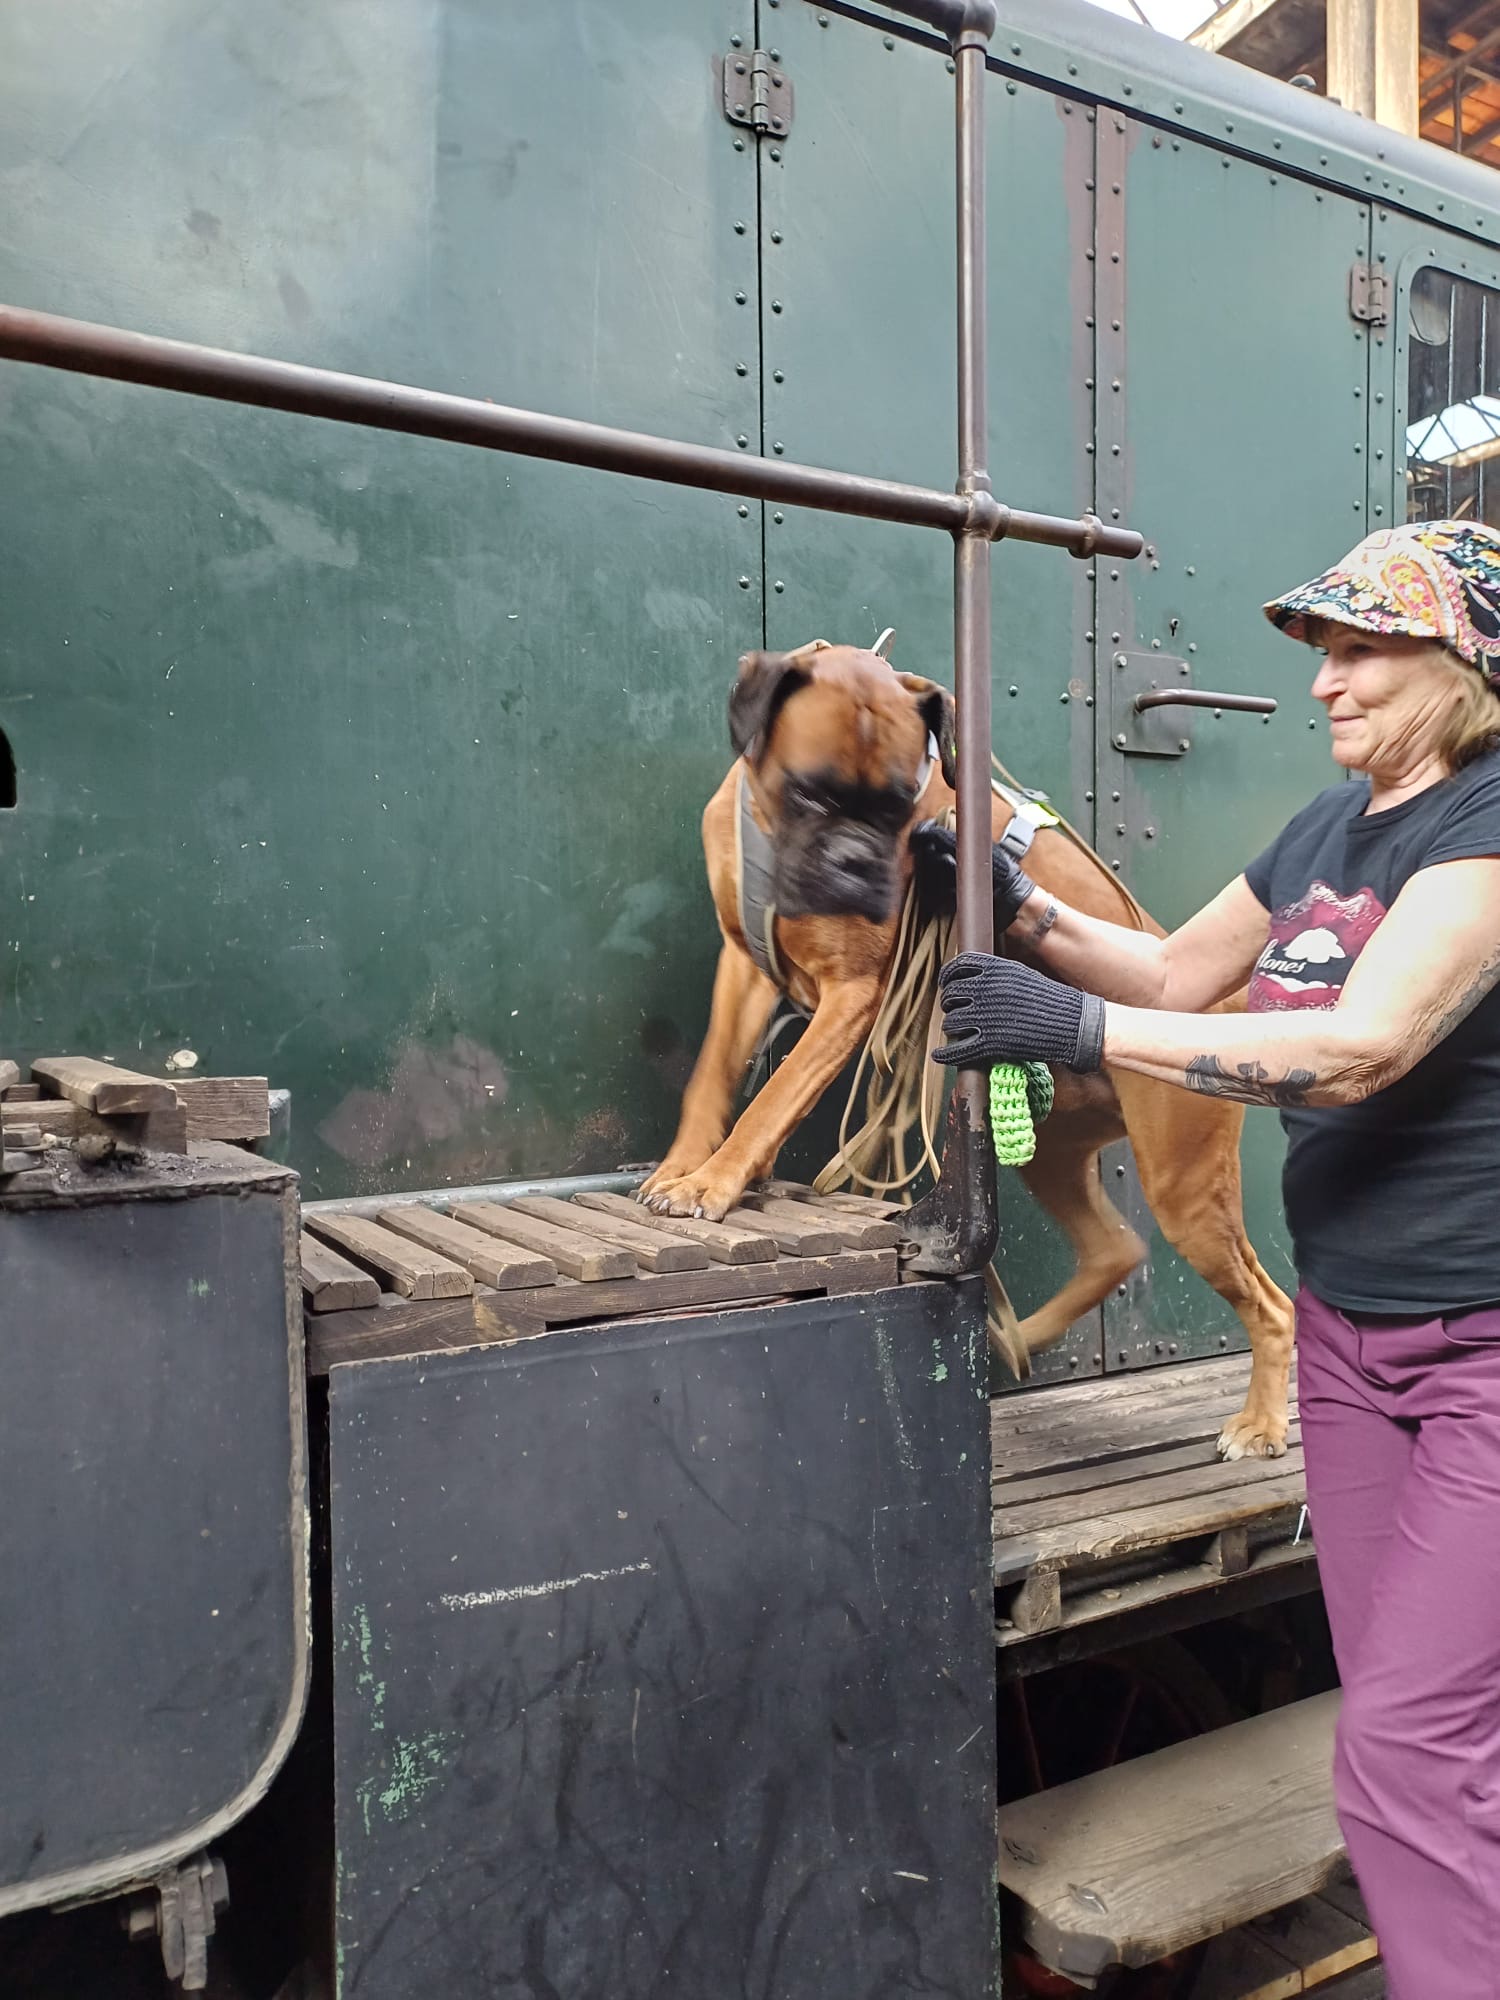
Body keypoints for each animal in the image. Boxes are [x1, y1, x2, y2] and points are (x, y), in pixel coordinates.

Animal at [639, 642, 1293, 1460]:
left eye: (900, 809)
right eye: (810, 793)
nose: (856, 864)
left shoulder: (851, 994)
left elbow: (775, 1094)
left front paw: (714, 1182)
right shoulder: (745, 964)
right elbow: (714, 1078)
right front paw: (684, 1167)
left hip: (1184, 1183)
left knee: (1271, 1305)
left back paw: (1261, 1424)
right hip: (1053, 1149)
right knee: (1116, 1250)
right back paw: (1022, 1339)